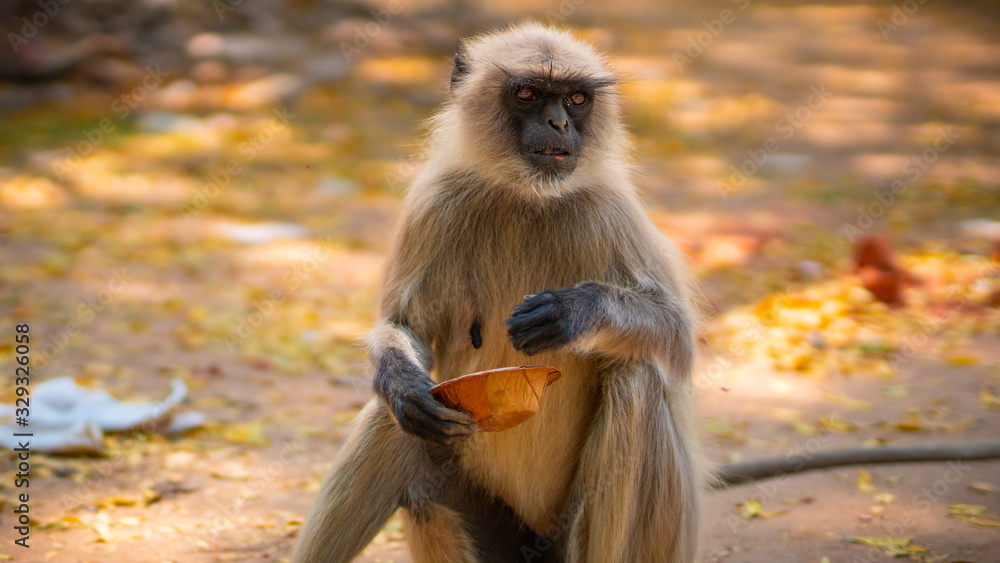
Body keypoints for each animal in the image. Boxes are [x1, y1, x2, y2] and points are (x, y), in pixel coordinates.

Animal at [292, 23, 702, 562]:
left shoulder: (608, 210)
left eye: (575, 99)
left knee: (637, 379)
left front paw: (575, 311)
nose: (557, 123)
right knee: (395, 423)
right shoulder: (439, 202)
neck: (527, 195)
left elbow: (677, 341)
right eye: (528, 94)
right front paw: (402, 384)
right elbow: (406, 331)